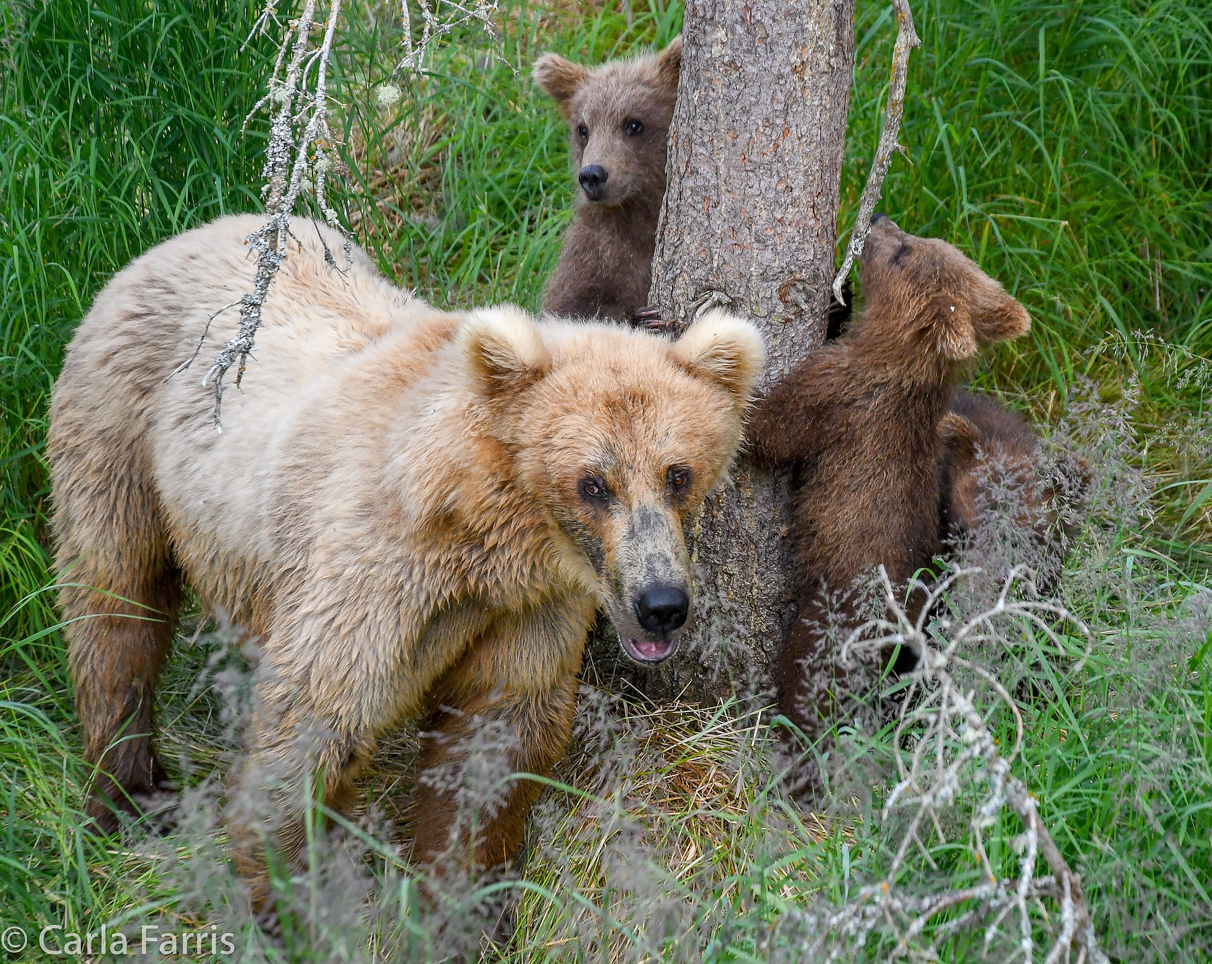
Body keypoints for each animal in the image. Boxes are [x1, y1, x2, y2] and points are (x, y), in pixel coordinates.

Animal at [49, 213, 765, 911]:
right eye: (594, 483)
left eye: (678, 473)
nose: (662, 604)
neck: (477, 535)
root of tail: (183, 236)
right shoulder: (372, 576)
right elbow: (314, 720)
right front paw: (290, 901)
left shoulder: (525, 610)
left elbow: (493, 737)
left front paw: (457, 901)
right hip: (122, 428)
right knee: (116, 603)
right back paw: (131, 793)